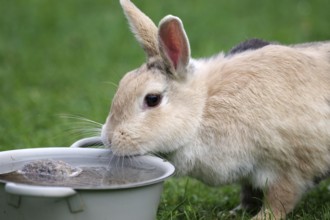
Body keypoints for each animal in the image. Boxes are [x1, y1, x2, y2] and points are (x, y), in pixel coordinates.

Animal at [100, 0, 330, 219]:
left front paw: (262, 218)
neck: (203, 109)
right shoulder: (250, 175)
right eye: (123, 81)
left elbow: (280, 200)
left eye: (152, 99)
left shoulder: (290, 168)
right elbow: (249, 193)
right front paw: (234, 212)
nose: (109, 139)